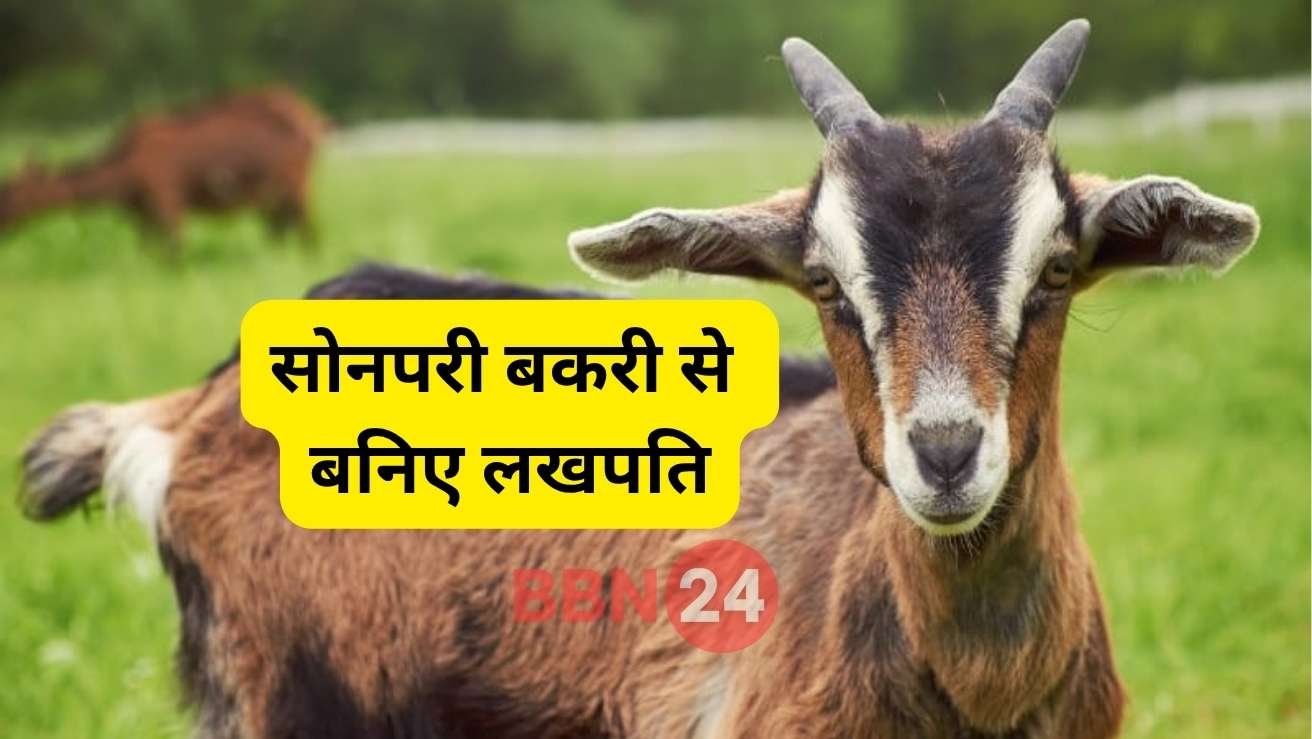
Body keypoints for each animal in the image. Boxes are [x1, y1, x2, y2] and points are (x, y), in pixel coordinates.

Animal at [0, 85, 326, 251]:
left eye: (12, 193)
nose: (3, 226)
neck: (123, 174)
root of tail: (312, 118)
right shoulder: (143, 215)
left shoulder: (167, 202)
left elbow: (174, 252)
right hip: (275, 194)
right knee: (280, 230)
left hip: (297, 185)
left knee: (306, 232)